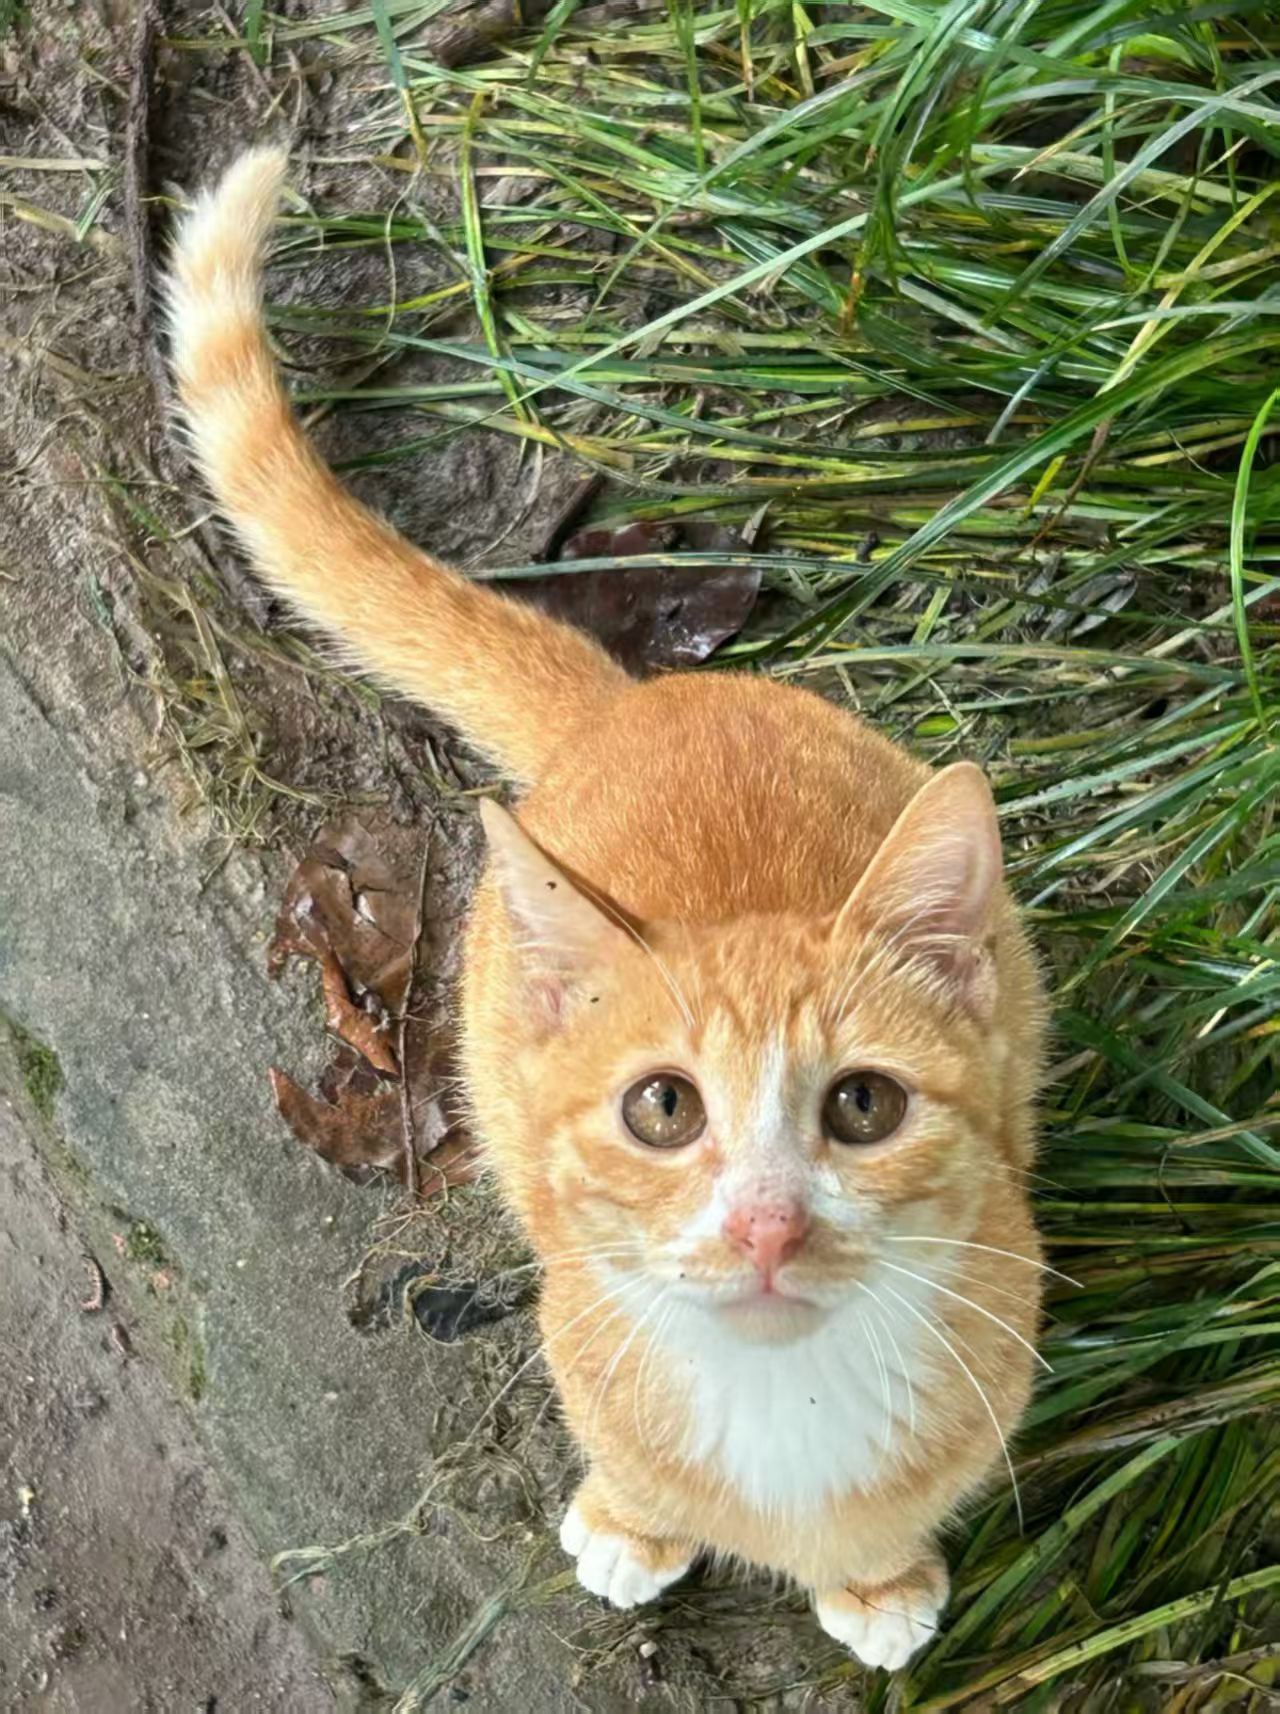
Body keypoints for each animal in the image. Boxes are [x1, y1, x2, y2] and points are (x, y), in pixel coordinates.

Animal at [167, 150, 1048, 1672]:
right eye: (664, 1108)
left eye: (862, 1105)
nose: (765, 1227)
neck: (786, 1403)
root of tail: (633, 698)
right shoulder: (582, 1322)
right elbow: (631, 1459)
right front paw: (633, 1523)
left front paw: (875, 1576)